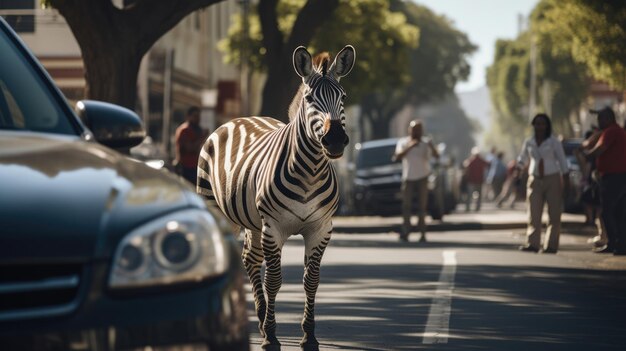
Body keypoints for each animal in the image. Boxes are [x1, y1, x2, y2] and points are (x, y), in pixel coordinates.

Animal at [197, 45, 356, 350]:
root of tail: (241, 118)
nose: (335, 140)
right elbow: (274, 281)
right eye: (309, 98)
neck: (309, 172)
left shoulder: (321, 228)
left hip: (254, 223)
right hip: (219, 210)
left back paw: (259, 318)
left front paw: (309, 336)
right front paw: (271, 336)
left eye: (343, 97)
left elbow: (312, 280)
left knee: (249, 258)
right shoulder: (274, 227)